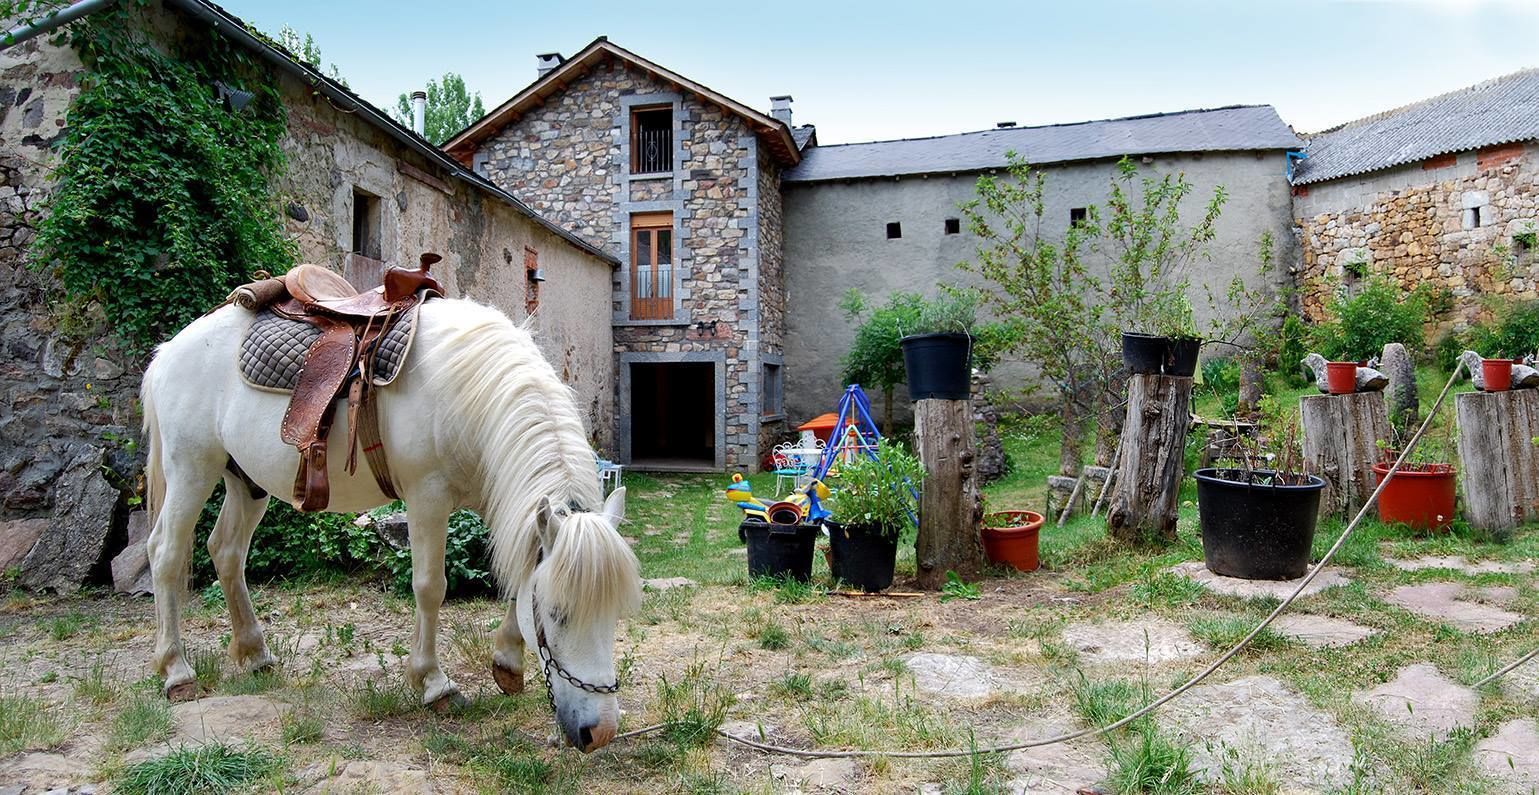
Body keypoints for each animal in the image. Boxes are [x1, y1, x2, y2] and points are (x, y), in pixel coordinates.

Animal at [143, 293, 643, 747]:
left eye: (615, 613)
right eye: (557, 614)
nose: (599, 733)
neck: (468, 390)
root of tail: (168, 352)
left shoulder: (502, 499)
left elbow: (518, 579)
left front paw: (506, 662)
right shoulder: (427, 498)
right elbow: (430, 587)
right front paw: (433, 683)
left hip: (245, 481)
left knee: (225, 551)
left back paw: (254, 653)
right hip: (192, 468)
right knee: (165, 553)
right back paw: (176, 671)